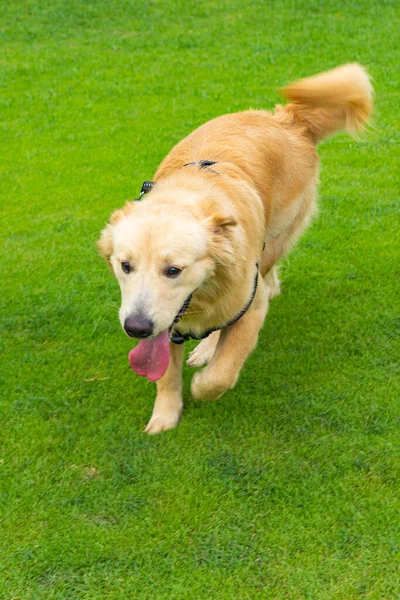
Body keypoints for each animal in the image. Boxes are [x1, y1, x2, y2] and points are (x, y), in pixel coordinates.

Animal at [98, 63, 374, 434]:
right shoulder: (161, 324)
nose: (135, 328)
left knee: (263, 283)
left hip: (274, 239)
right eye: (125, 266)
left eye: (174, 270)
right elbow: (165, 373)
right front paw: (165, 416)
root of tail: (287, 120)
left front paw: (203, 382)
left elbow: (224, 371)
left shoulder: (249, 308)